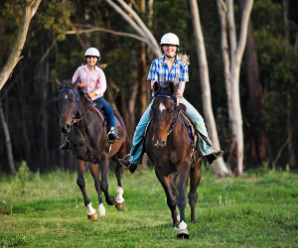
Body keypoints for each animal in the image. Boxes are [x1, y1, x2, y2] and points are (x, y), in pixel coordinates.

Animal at [56, 80, 127, 221]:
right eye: (59, 101)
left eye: (73, 100)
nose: (65, 127)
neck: (85, 129)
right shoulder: (80, 158)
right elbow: (82, 182)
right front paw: (91, 212)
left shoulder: (104, 156)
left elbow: (104, 184)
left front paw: (112, 200)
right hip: (93, 163)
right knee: (96, 183)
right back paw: (101, 210)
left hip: (120, 151)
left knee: (118, 172)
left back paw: (119, 200)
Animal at [145, 81, 203, 238]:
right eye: (152, 109)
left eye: (171, 110)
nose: (158, 140)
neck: (171, 141)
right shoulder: (161, 171)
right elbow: (171, 199)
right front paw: (176, 224)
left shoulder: (184, 166)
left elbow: (182, 198)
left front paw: (183, 228)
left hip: (196, 167)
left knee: (193, 195)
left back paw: (193, 219)